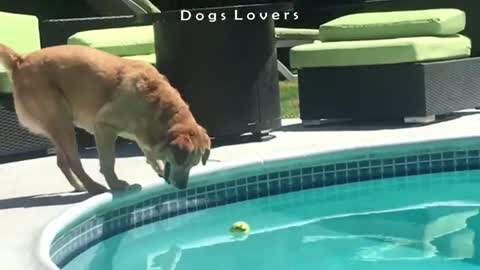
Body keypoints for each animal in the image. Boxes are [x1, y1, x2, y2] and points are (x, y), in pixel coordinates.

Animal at [0, 44, 210, 193]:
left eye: (193, 165)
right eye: (182, 162)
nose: (183, 187)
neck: (157, 107)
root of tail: (20, 60)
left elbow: (149, 155)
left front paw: (157, 169)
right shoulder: (103, 126)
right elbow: (108, 162)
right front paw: (116, 185)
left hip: (60, 125)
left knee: (62, 161)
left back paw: (80, 187)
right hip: (62, 122)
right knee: (73, 160)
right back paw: (94, 187)